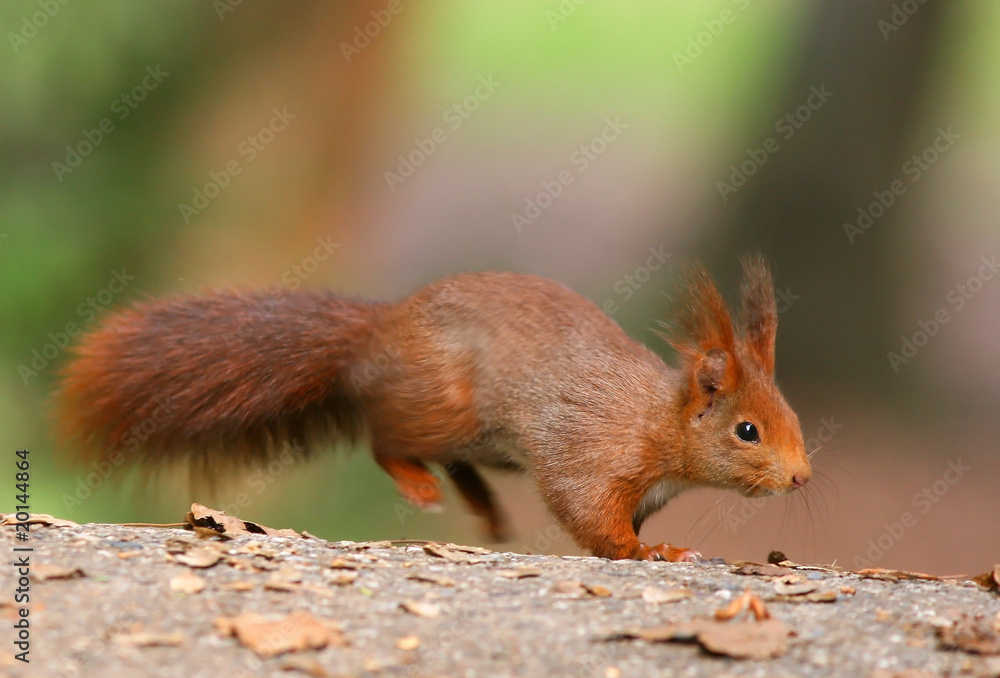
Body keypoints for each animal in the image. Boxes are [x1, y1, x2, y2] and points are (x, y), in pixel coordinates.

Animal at [56, 255, 810, 562]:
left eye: (794, 421)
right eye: (747, 431)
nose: (802, 478)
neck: (659, 422)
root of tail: (376, 335)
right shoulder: (589, 449)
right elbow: (588, 512)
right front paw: (646, 550)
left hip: (479, 439)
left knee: (452, 461)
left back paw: (485, 509)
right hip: (442, 405)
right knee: (386, 438)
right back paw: (421, 486)